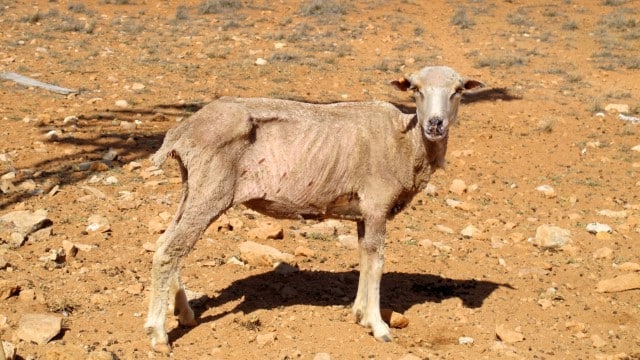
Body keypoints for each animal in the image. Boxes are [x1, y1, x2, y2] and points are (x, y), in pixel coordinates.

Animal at [144, 64, 484, 352]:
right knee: (170, 250)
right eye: (415, 89)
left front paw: (360, 313)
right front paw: (378, 326)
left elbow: (364, 258)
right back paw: (159, 335)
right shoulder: (376, 206)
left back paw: (184, 312)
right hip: (211, 191)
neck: (406, 142)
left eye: (458, 91)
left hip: (193, 186)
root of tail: (182, 131)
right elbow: (377, 263)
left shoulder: (363, 212)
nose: (435, 124)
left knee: (166, 242)